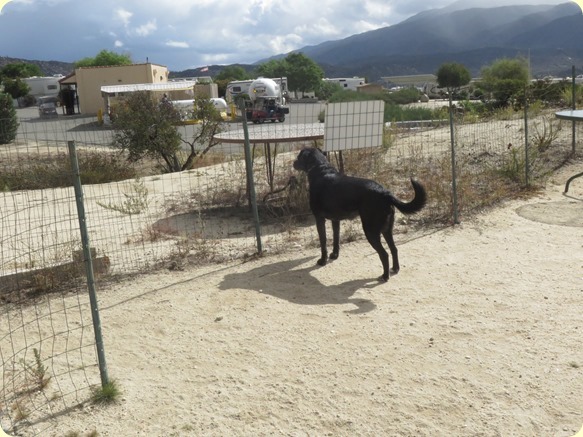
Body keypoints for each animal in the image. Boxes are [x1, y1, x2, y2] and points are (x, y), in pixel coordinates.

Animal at [293, 147, 427, 282]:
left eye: (299, 156)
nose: (293, 163)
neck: (320, 168)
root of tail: (385, 193)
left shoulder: (319, 219)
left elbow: (323, 242)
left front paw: (322, 261)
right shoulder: (335, 220)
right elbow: (336, 240)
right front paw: (335, 255)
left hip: (370, 230)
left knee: (384, 254)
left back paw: (385, 276)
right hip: (386, 229)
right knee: (394, 249)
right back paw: (395, 269)